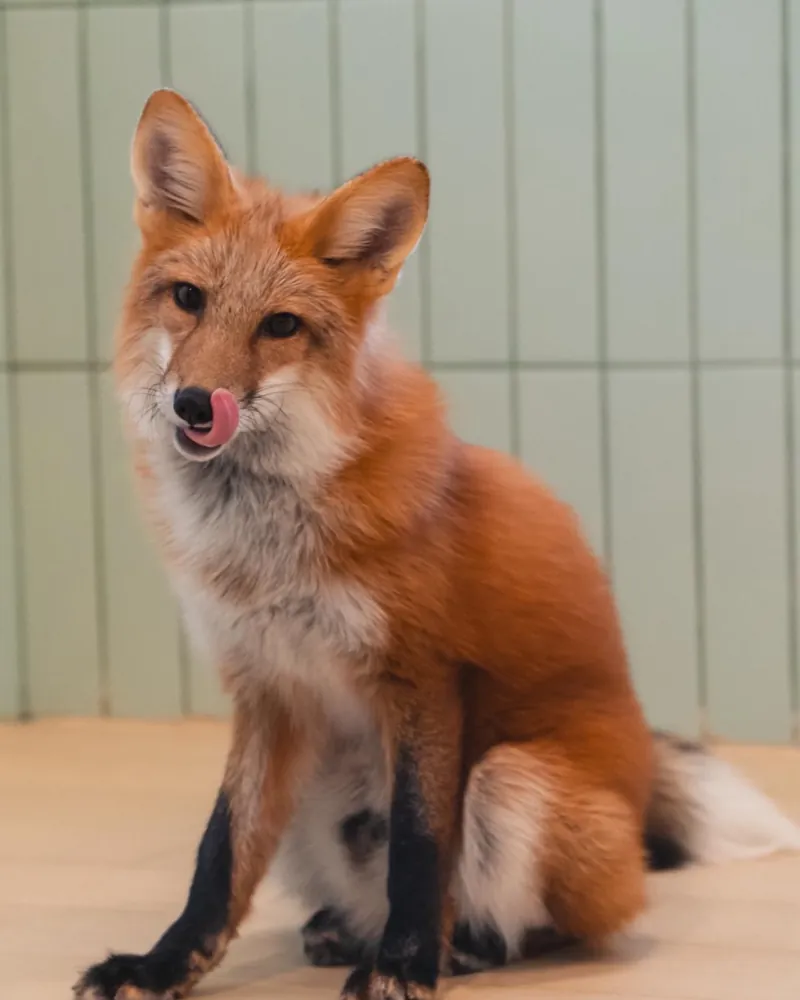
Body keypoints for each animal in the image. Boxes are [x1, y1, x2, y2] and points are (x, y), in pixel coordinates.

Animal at [75, 89, 800, 1000]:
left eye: (280, 326)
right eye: (188, 298)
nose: (195, 404)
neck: (267, 546)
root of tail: (637, 791)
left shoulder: (422, 676)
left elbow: (421, 847)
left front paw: (407, 965)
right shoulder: (267, 690)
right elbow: (220, 856)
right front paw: (163, 965)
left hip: (513, 781)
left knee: (547, 920)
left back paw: (460, 949)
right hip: (317, 785)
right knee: (355, 890)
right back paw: (346, 931)